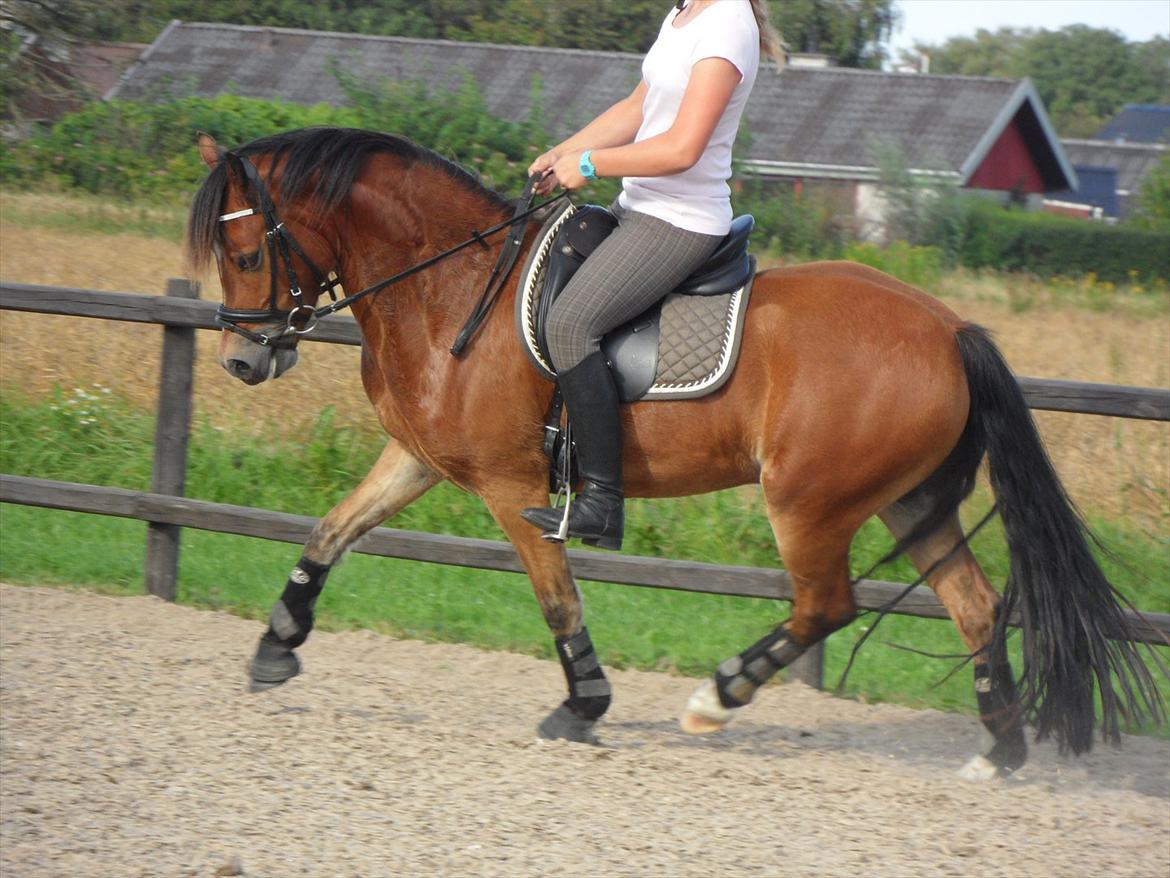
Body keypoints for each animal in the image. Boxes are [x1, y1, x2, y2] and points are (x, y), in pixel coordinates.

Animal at [187, 127, 1161, 780]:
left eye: (245, 250)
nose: (242, 360)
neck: (449, 286)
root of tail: (950, 328)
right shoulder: (418, 457)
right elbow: (331, 529)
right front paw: (276, 645)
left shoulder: (511, 485)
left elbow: (557, 596)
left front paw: (583, 704)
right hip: (910, 501)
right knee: (973, 605)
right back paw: (1000, 748)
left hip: (809, 500)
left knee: (827, 603)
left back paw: (717, 695)